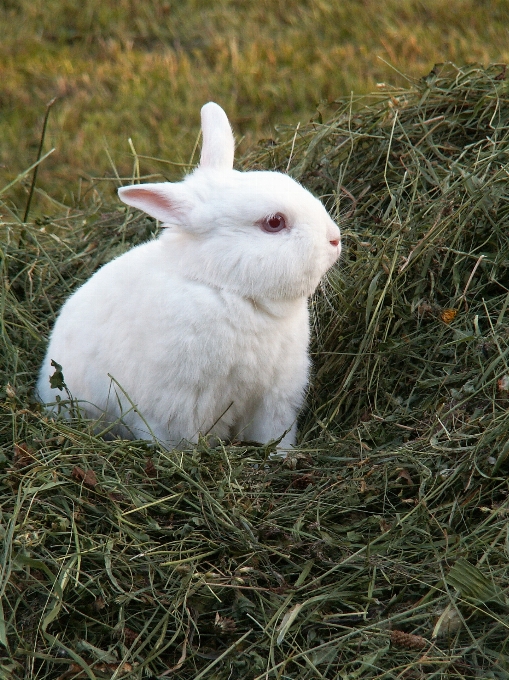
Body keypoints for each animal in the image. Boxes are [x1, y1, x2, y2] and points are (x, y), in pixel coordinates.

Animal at [36, 103, 342, 448]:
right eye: (274, 222)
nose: (335, 239)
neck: (229, 291)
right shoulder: (175, 407)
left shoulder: (274, 399)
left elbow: (273, 435)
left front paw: (282, 455)